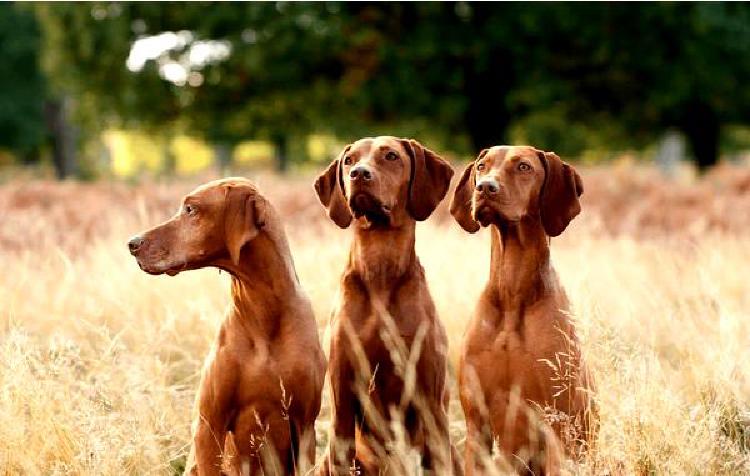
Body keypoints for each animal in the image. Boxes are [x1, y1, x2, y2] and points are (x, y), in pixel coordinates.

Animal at [316, 136, 462, 474]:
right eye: (349, 160)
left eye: (391, 156)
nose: (358, 173)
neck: (380, 269)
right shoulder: (342, 401)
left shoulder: (430, 402)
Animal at [450, 147, 596, 474]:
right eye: (482, 166)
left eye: (524, 167)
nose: (485, 188)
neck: (512, 293)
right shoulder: (477, 424)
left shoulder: (558, 426)